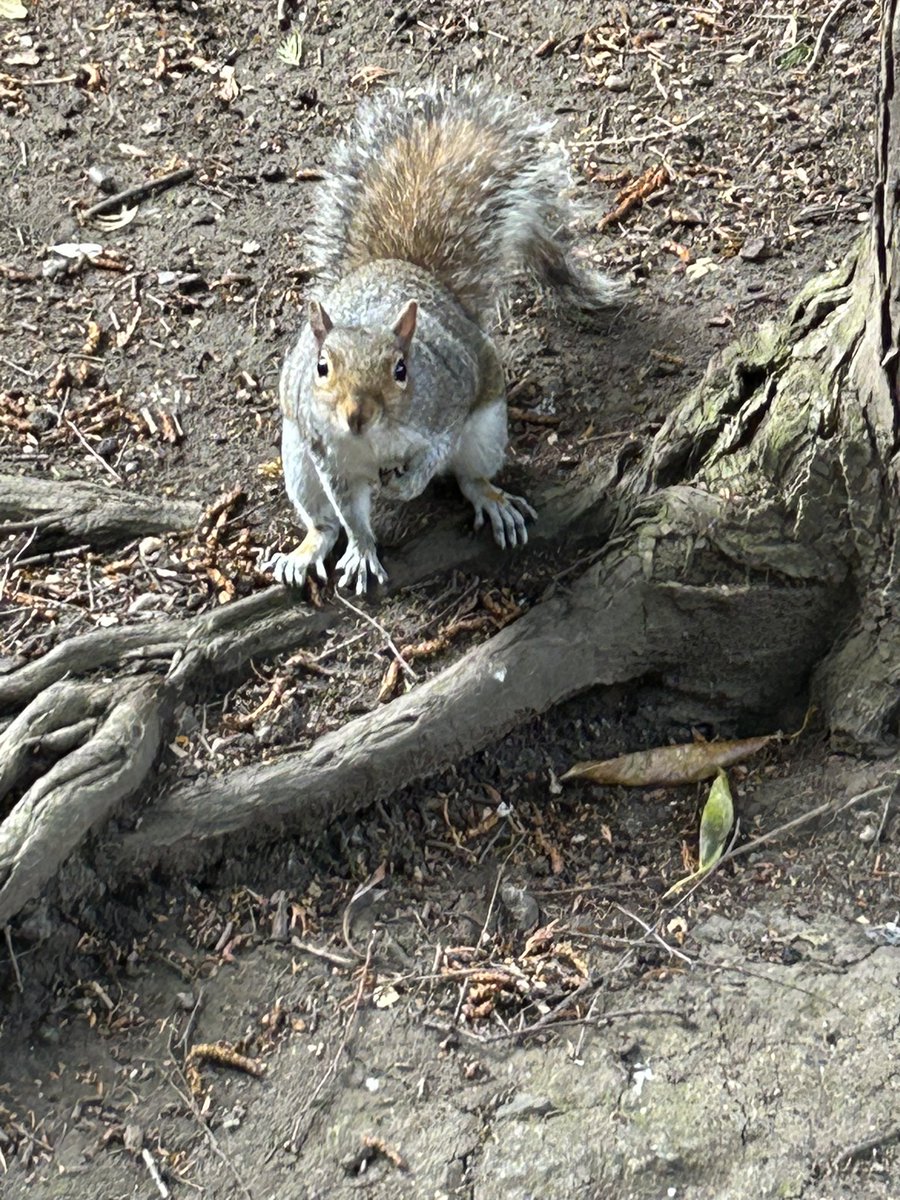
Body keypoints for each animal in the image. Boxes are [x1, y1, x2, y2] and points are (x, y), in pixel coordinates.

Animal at [264, 79, 624, 595]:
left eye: (401, 369)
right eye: (321, 366)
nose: (356, 415)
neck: (374, 441)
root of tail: (403, 267)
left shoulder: (450, 397)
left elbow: (437, 448)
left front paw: (407, 485)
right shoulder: (324, 452)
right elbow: (349, 511)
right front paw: (363, 549)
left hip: (486, 433)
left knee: (468, 475)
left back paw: (491, 499)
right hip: (295, 458)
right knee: (323, 520)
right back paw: (307, 548)